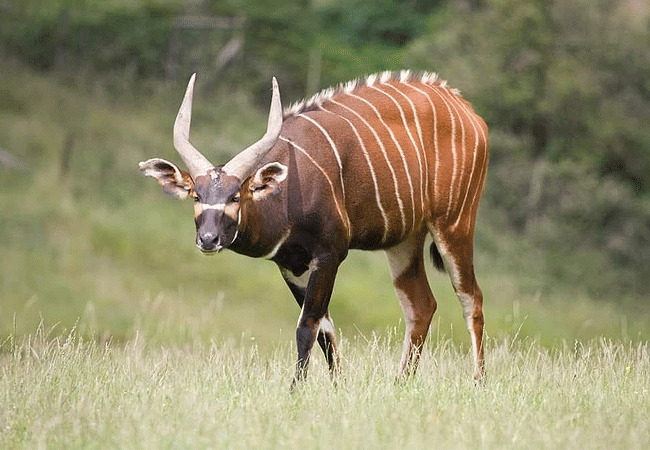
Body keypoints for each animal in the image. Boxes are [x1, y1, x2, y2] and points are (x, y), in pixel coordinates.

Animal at [140, 71, 486, 386]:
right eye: (197, 195)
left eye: (235, 195)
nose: (208, 239)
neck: (288, 189)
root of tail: (471, 113)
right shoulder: (292, 266)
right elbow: (325, 330)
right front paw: (337, 388)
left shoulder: (329, 254)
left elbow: (308, 324)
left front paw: (296, 390)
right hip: (403, 242)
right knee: (421, 305)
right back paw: (401, 383)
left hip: (454, 225)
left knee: (471, 298)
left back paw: (478, 382)